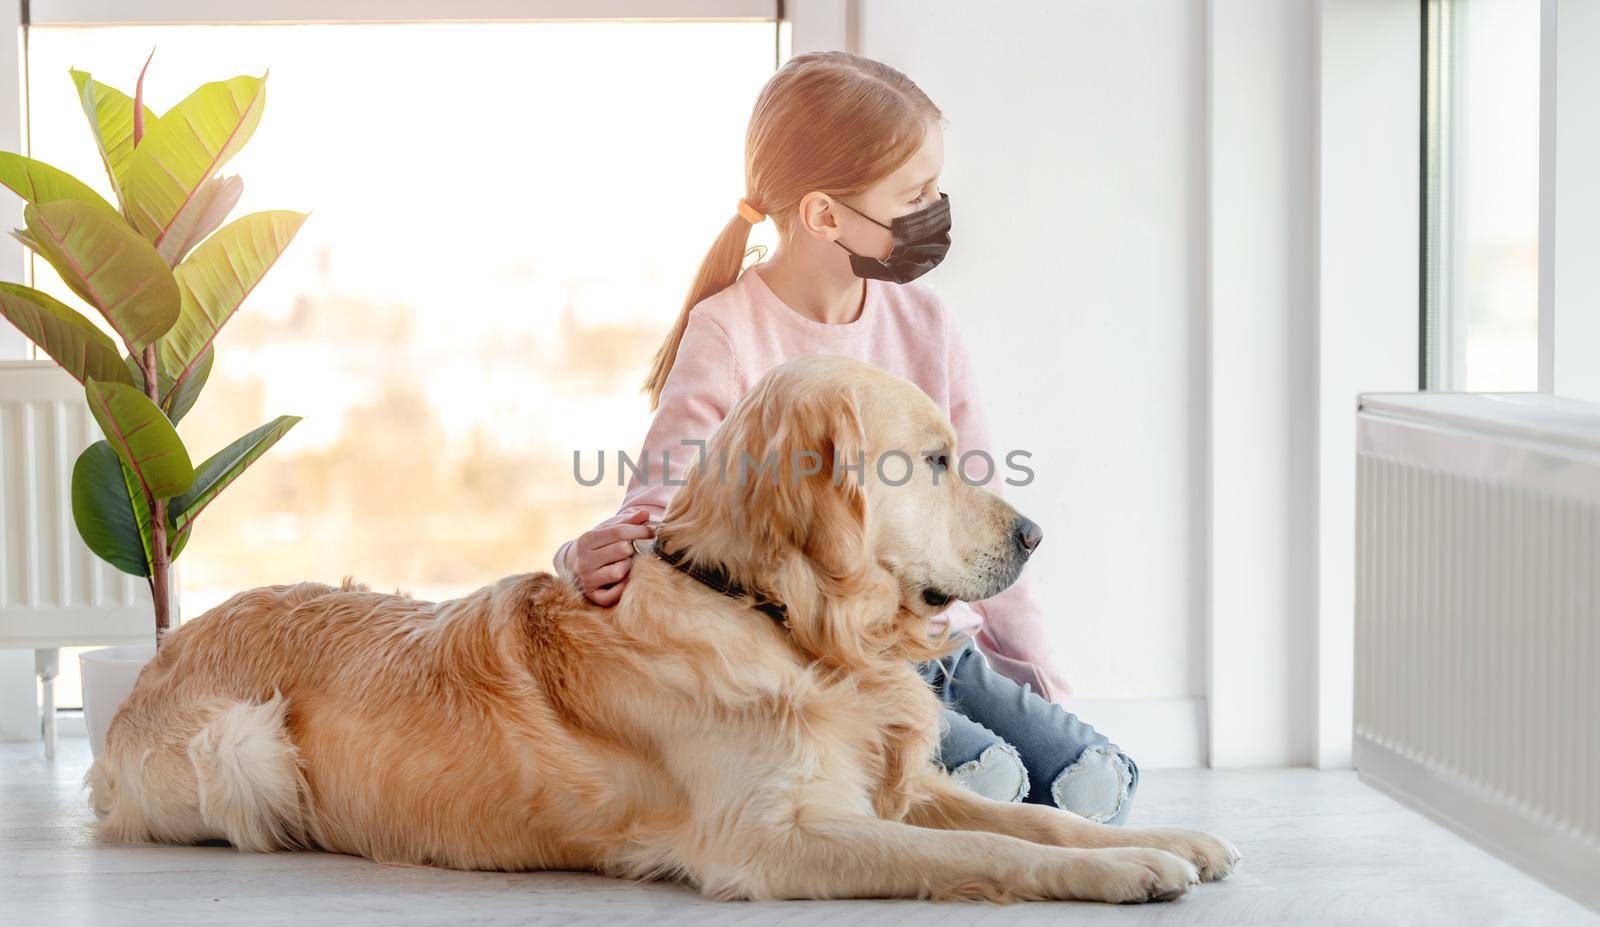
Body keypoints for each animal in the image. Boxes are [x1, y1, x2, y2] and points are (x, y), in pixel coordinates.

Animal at [84, 353, 1235, 896]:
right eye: (937, 459)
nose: (1036, 533)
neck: (773, 617)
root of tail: (155, 659)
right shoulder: (775, 837)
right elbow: (991, 850)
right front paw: (1121, 873)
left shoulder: (880, 784)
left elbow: (1035, 818)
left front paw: (1164, 839)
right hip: (247, 749)